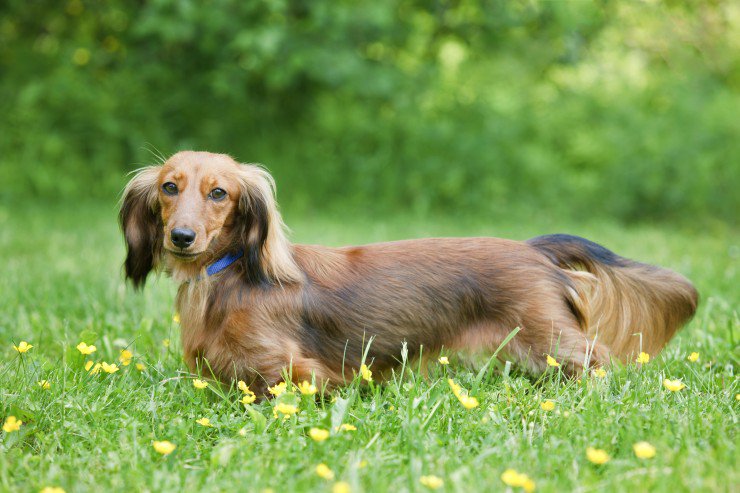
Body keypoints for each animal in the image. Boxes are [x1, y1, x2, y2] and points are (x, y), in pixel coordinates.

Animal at [118, 152, 696, 394]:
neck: (232, 274)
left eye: (219, 192)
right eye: (170, 187)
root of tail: (533, 249)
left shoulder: (291, 368)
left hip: (549, 338)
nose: (182, 238)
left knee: (598, 362)